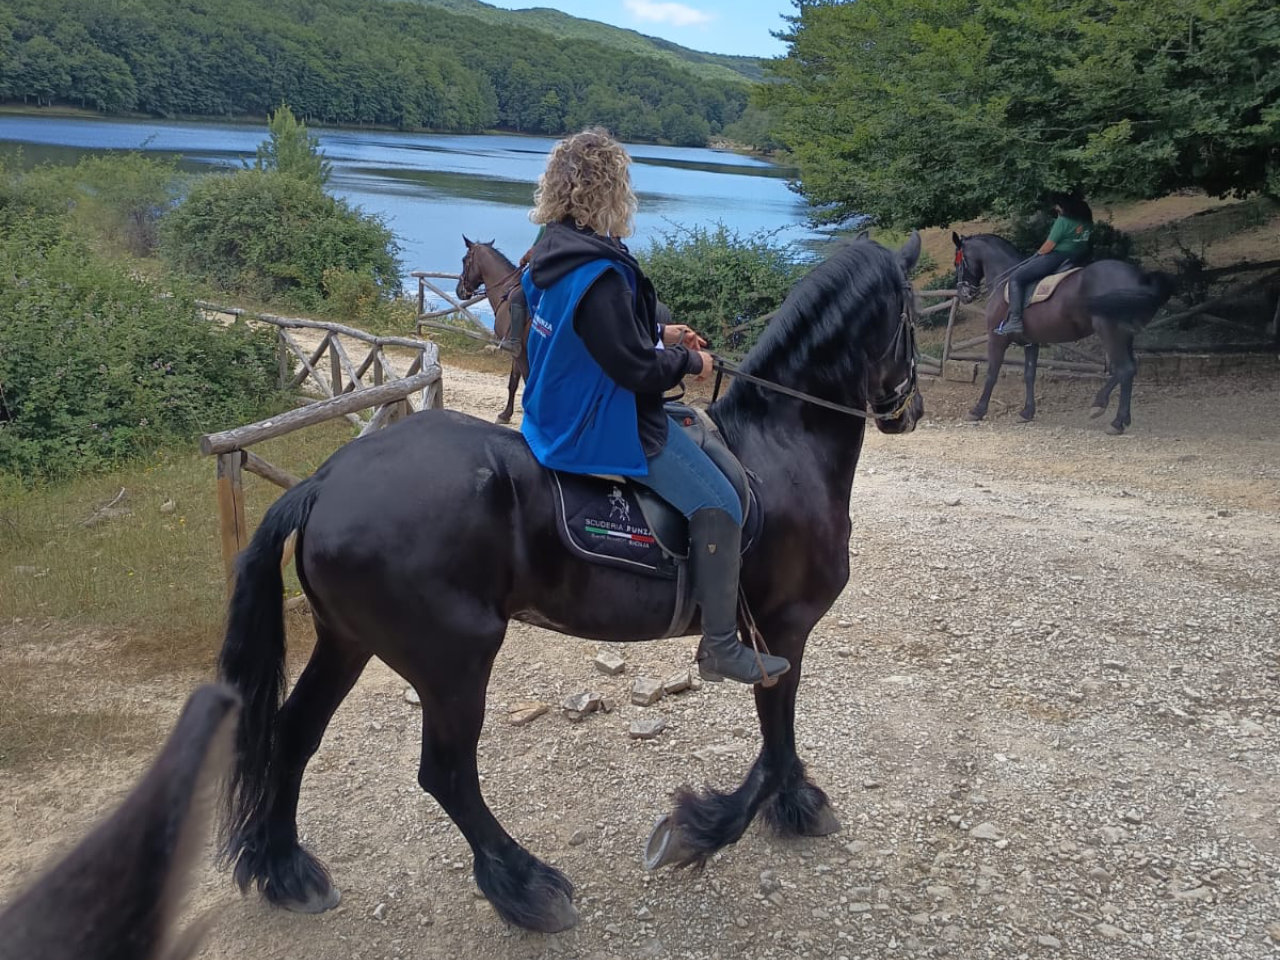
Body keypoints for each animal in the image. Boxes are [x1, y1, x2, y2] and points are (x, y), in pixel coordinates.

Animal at [952, 232, 1175, 434]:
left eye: (958, 263)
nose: (963, 294)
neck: (1005, 280)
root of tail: (1142, 278)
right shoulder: (1031, 342)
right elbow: (1029, 375)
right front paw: (1027, 412)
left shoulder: (997, 339)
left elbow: (992, 374)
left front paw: (977, 411)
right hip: (1126, 334)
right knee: (1128, 369)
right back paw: (1106, 408)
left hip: (1110, 332)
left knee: (1125, 369)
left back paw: (1114, 419)